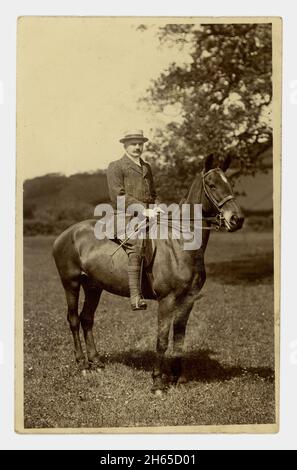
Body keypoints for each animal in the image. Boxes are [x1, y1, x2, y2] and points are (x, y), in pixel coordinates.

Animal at [53, 154, 243, 392]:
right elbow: (162, 339)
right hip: (71, 283)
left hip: (94, 287)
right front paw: (157, 382)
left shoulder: (188, 300)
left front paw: (178, 377)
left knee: (87, 319)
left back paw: (96, 362)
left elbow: (179, 337)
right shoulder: (167, 300)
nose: (237, 219)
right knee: (73, 319)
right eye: (211, 184)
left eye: (230, 183)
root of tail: (65, 234)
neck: (180, 243)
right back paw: (82, 364)